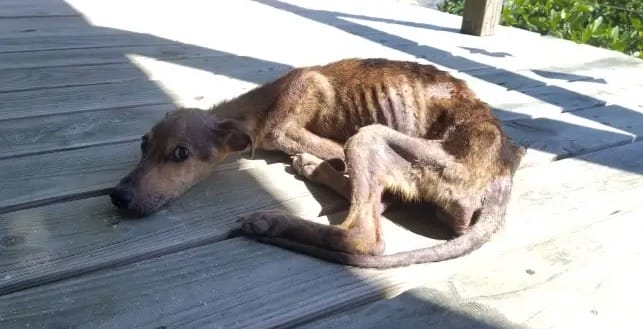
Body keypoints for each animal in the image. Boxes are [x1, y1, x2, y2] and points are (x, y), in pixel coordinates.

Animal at [109, 58, 524, 270]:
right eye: (143, 145)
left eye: (181, 153)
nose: (118, 196)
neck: (264, 102)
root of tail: (502, 175)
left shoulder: (286, 128)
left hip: (371, 137)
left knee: (365, 234)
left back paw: (277, 213)